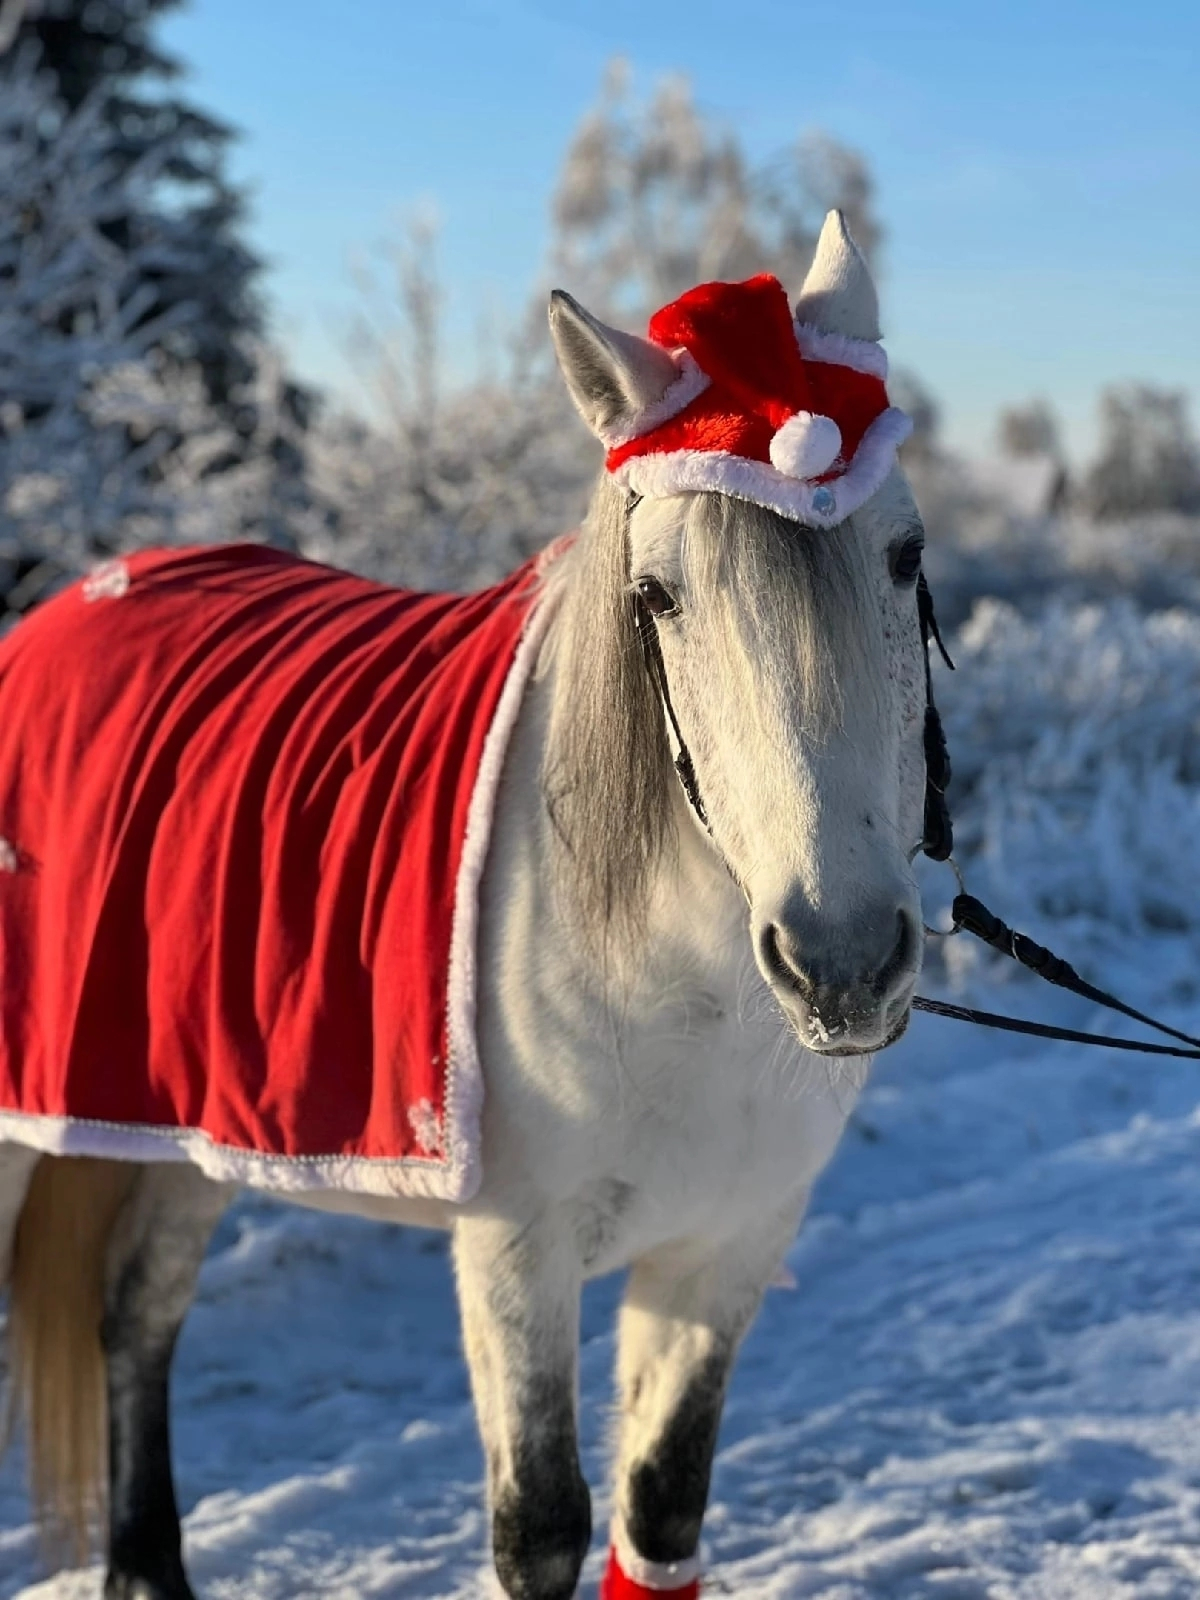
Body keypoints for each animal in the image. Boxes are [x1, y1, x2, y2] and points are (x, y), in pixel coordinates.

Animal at [0, 212, 928, 1600]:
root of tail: (54, 615)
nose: (844, 960)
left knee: (138, 1309)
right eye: (656, 596)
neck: (678, 981)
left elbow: (661, 1513)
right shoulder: (513, 1253)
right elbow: (538, 1526)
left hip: (181, 1124)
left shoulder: (725, 1244)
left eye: (908, 557)